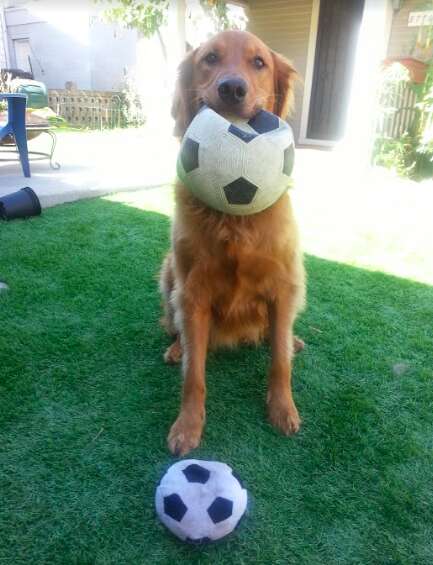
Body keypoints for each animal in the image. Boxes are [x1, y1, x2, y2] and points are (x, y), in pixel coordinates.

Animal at [159, 29, 304, 454]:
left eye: (259, 63)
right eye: (210, 58)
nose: (232, 88)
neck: (236, 218)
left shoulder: (285, 283)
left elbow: (279, 361)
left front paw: (282, 409)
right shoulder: (193, 291)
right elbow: (194, 373)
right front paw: (188, 425)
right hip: (169, 271)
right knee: (175, 326)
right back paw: (176, 346)